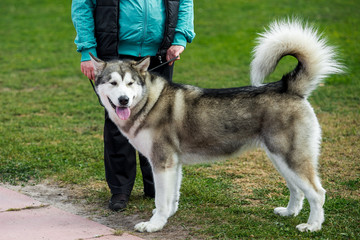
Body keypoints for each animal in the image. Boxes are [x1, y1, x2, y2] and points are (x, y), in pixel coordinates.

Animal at [88, 19, 342, 233]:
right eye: (113, 83)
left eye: (130, 83)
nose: (123, 100)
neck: (150, 101)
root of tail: (287, 87)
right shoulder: (174, 164)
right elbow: (171, 197)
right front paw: (168, 216)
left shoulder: (163, 162)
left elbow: (161, 199)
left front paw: (154, 224)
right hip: (279, 159)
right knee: (297, 190)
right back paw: (289, 212)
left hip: (290, 158)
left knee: (318, 193)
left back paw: (312, 226)